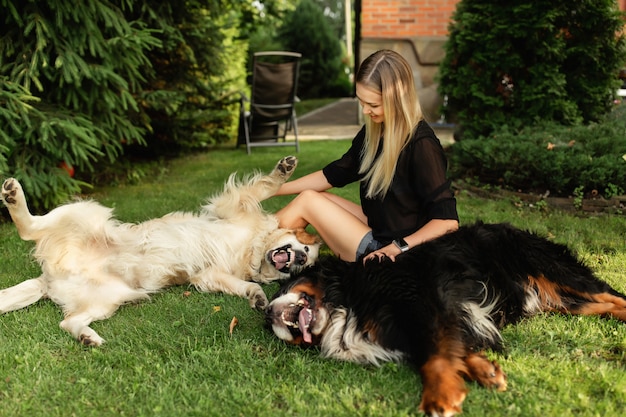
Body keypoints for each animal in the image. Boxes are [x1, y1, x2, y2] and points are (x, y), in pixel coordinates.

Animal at [264, 223, 624, 416]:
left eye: (284, 287)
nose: (267, 313)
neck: (347, 299)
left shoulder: (423, 301)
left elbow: (433, 355)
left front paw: (440, 397)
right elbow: (453, 345)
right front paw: (485, 370)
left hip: (553, 269)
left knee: (613, 296)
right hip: (567, 302)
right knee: (602, 303)